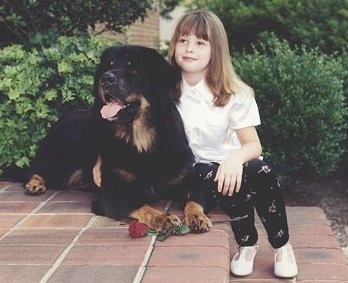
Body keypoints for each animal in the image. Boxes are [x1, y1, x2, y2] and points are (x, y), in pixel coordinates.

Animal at [23, 45, 212, 233]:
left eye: (133, 69)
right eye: (109, 65)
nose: (106, 79)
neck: (142, 140)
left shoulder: (189, 180)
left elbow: (195, 199)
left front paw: (197, 216)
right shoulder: (113, 192)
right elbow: (141, 206)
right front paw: (162, 218)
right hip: (66, 156)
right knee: (35, 168)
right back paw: (35, 183)